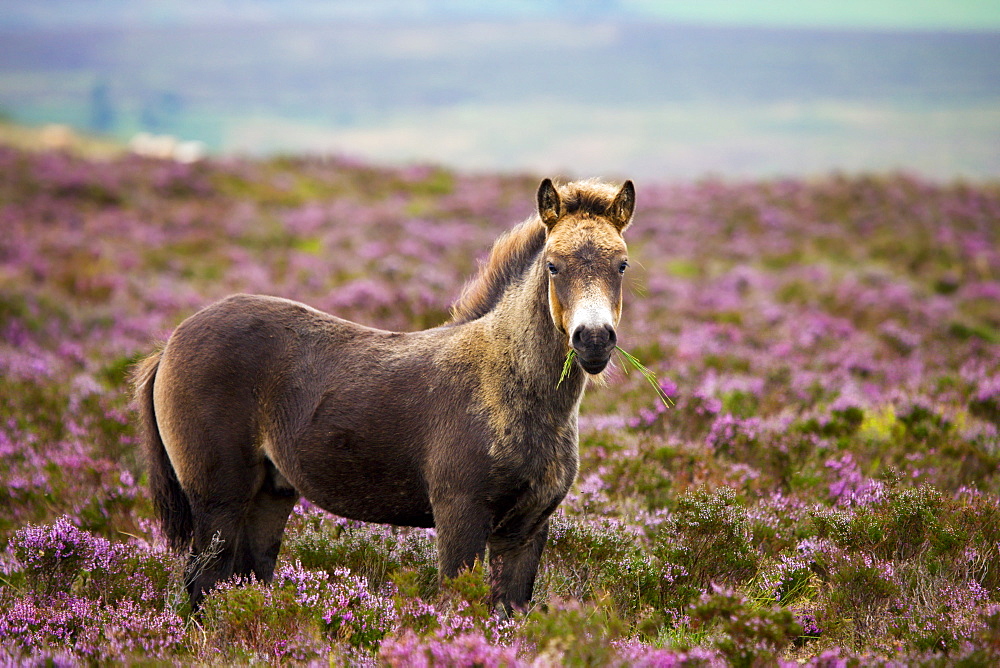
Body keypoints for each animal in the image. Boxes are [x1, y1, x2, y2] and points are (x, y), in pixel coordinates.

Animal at [133, 176, 632, 612]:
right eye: (553, 264)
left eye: (622, 264)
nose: (593, 340)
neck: (508, 386)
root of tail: (170, 343)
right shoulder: (461, 516)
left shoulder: (527, 529)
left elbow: (509, 613)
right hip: (217, 499)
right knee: (203, 582)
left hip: (270, 495)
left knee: (245, 578)